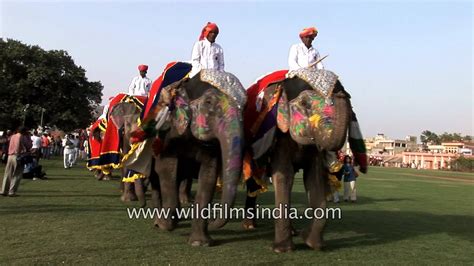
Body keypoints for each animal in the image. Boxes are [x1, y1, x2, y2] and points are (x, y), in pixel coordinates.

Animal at [146, 69, 244, 246]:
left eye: (245, 107)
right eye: (209, 102)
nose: (213, 222)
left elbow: (209, 176)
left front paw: (200, 243)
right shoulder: (168, 134)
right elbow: (166, 169)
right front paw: (167, 225)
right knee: (155, 180)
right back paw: (159, 222)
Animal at [241, 68, 366, 251]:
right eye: (305, 104)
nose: (343, 94)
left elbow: (314, 178)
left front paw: (311, 242)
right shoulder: (280, 133)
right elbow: (284, 175)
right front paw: (283, 249)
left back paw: (292, 231)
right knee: (254, 181)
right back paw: (249, 225)